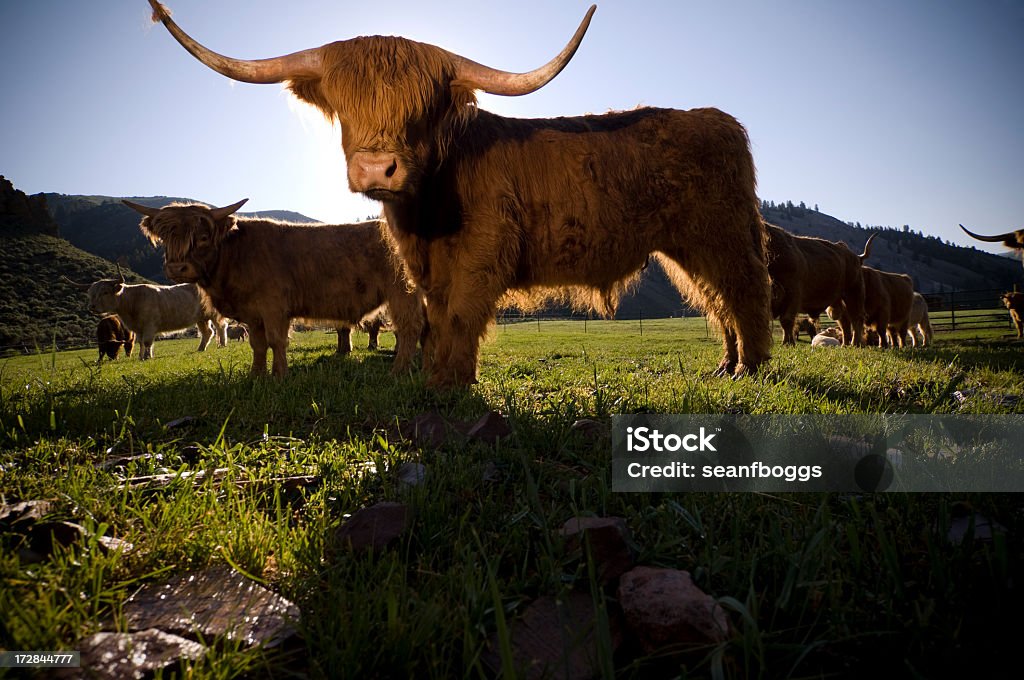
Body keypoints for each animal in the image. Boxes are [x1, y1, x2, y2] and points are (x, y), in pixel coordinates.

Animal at [125, 199, 425, 376]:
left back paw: (400, 370)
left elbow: (276, 341)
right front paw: (256, 376)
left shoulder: (274, 308)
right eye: (165, 238)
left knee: (409, 328)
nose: (177, 269)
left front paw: (279, 375)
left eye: (202, 237)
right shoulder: (251, 314)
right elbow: (257, 345)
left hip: (403, 292)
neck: (234, 255)